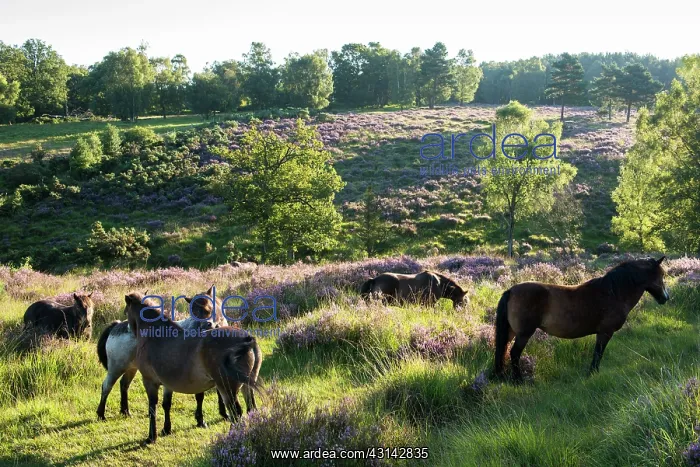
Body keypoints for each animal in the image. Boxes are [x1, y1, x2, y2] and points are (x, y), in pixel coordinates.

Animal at [96, 286, 229, 425]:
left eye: (209, 307)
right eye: (193, 311)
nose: (206, 325)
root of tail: (117, 326)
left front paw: (223, 414)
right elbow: (200, 396)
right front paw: (201, 420)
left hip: (132, 368)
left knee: (124, 385)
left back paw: (125, 411)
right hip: (116, 368)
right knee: (106, 386)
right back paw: (101, 414)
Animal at [125, 291, 262, 444]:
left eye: (126, 311)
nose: (128, 329)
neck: (155, 336)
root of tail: (247, 339)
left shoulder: (149, 381)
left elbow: (152, 408)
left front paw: (151, 436)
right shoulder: (167, 383)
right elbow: (166, 404)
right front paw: (166, 429)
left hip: (227, 388)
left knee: (236, 412)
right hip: (246, 385)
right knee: (251, 407)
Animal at [494, 257, 670, 382]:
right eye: (661, 275)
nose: (665, 298)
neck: (613, 292)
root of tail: (511, 290)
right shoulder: (605, 332)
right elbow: (598, 353)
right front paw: (593, 373)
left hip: (511, 332)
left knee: (503, 350)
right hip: (524, 333)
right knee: (514, 353)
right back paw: (518, 380)